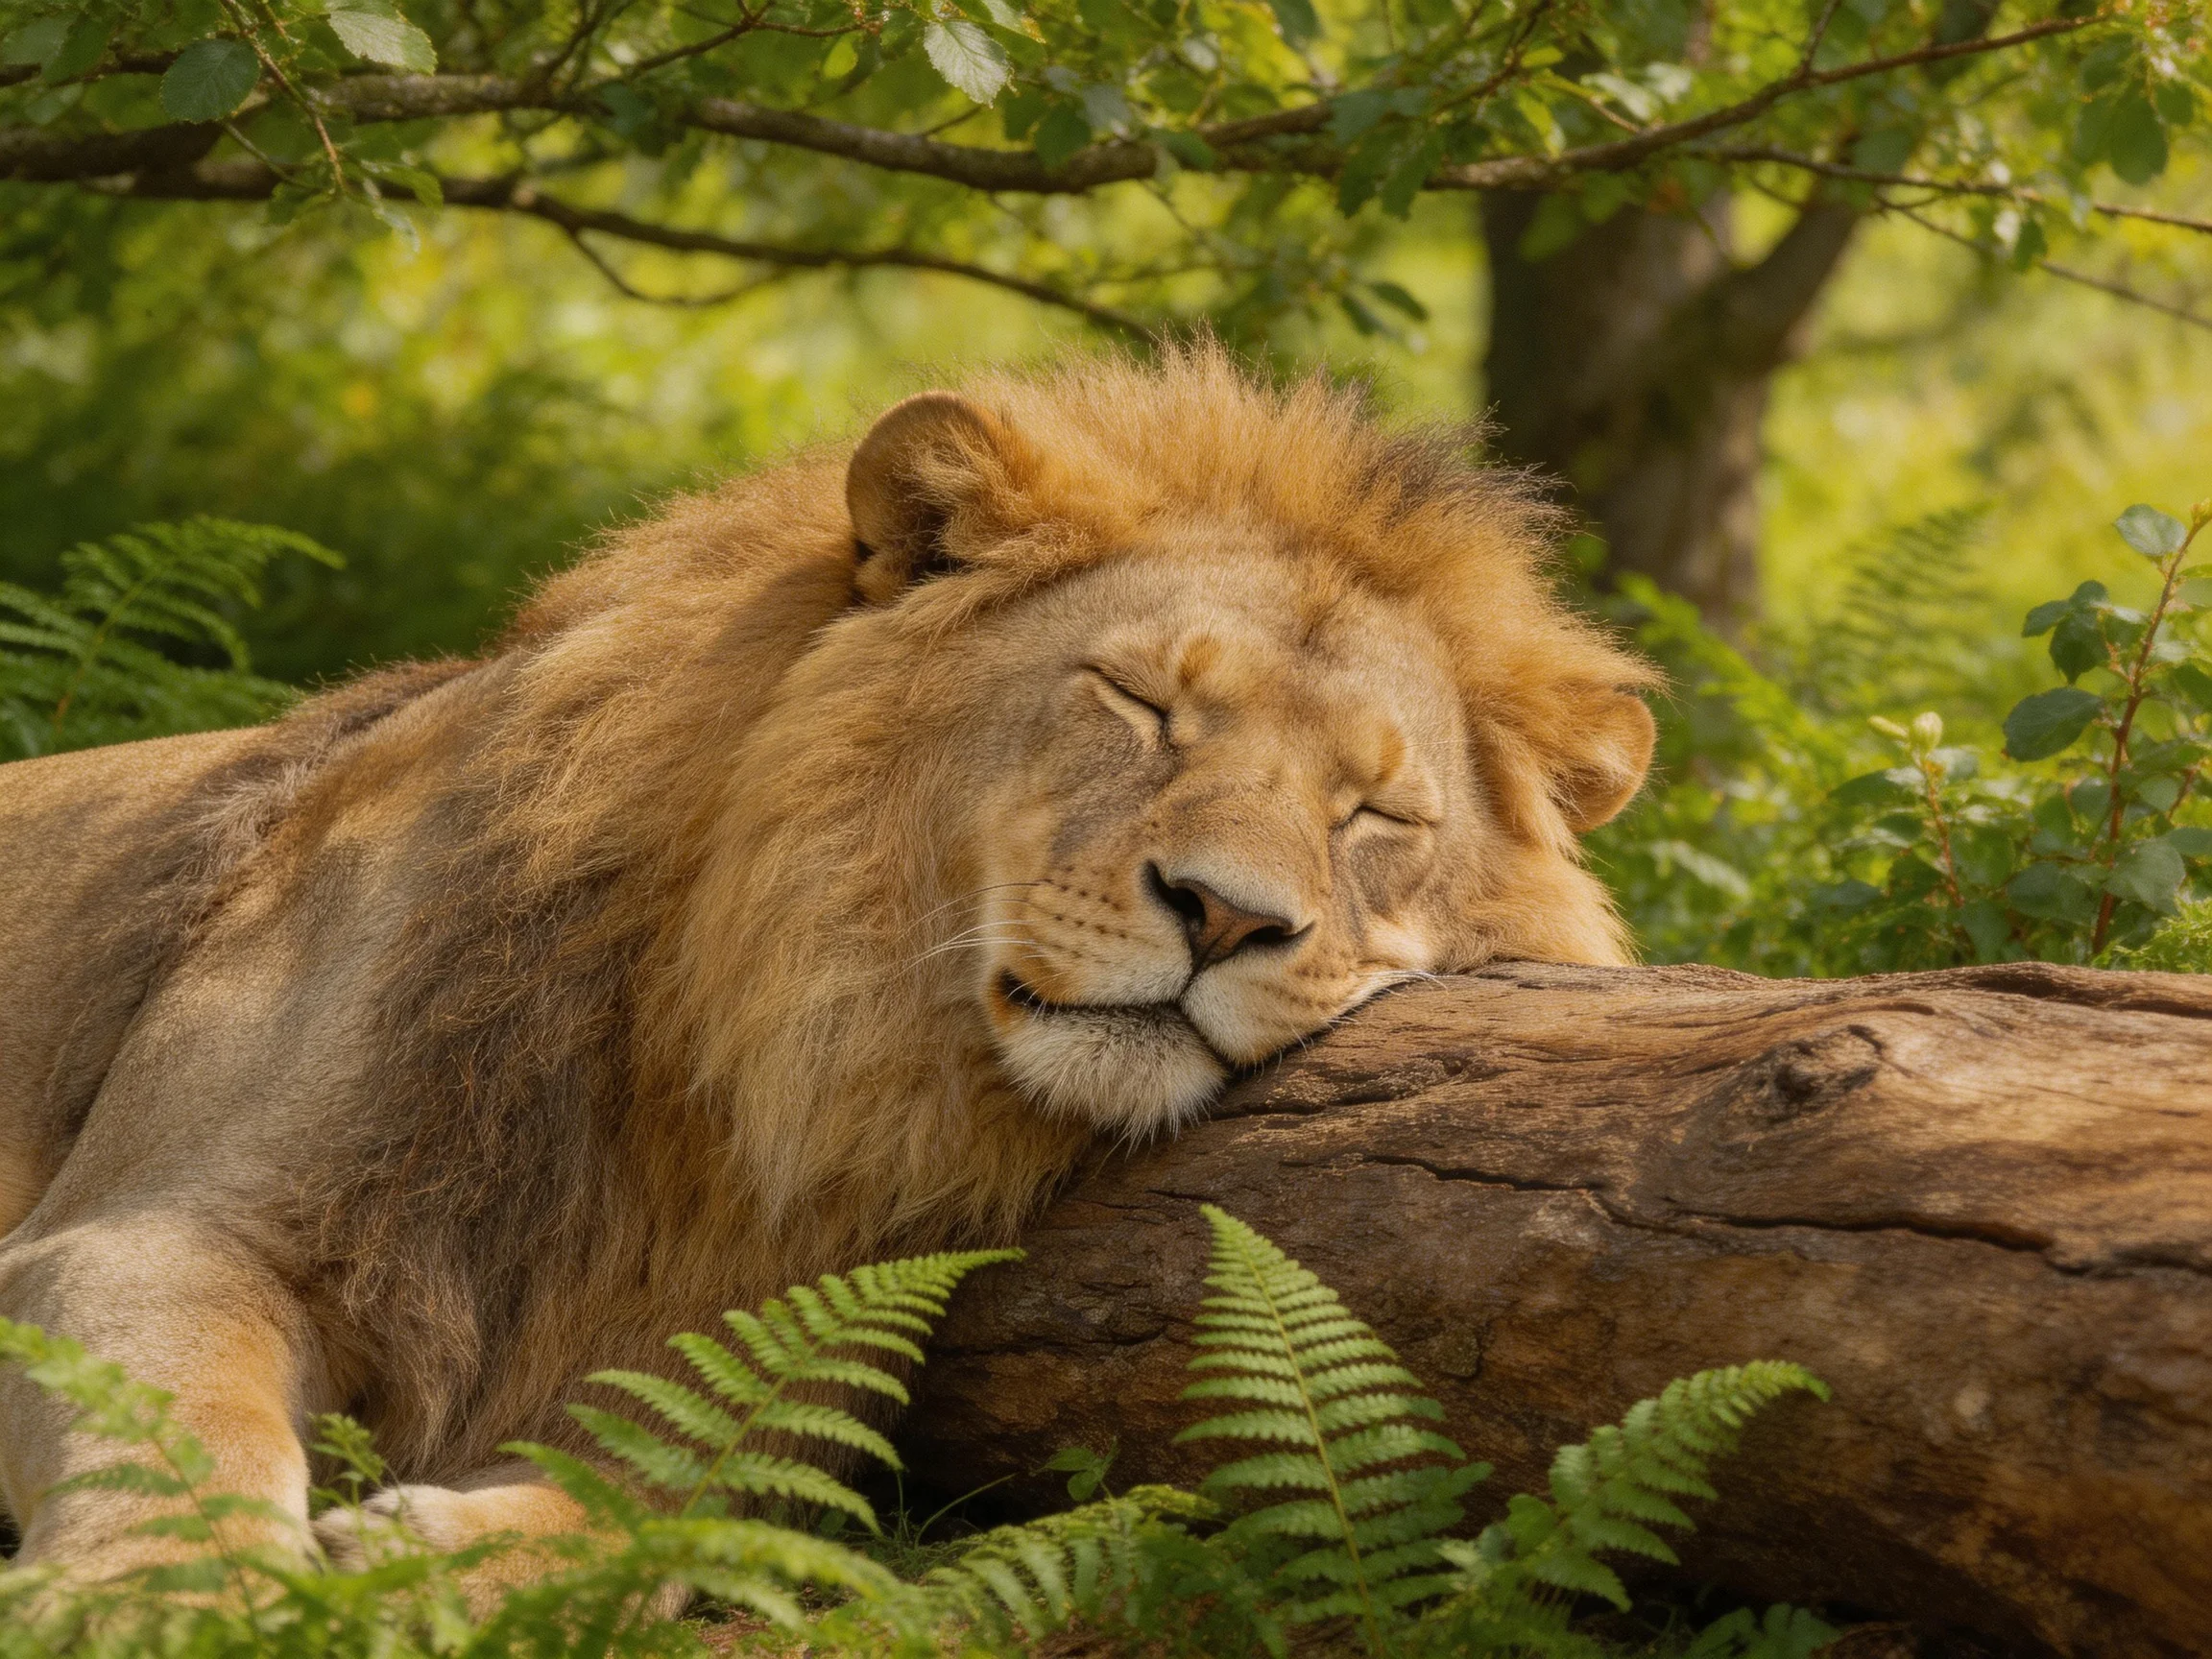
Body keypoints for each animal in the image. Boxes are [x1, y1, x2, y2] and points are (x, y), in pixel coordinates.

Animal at [0, 348, 1655, 1595]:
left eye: (1375, 816)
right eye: (1138, 703)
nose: (1226, 915)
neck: (743, 1028)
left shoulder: (783, 1331)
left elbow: (680, 1497)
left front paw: (434, 1567)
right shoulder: (152, 1232)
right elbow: (181, 1426)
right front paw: (162, 1607)